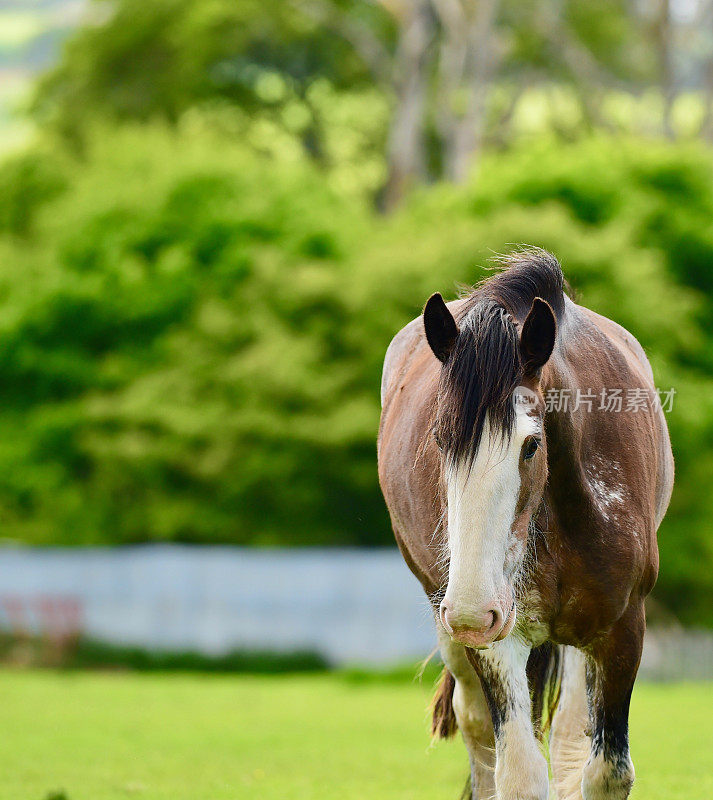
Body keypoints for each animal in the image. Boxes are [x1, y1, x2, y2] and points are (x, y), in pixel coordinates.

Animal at [378, 250, 672, 800]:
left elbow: (605, 771)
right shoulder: (497, 638)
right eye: (439, 439)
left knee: (569, 735)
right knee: (477, 725)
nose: (473, 611)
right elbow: (518, 773)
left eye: (531, 444)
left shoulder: (623, 628)